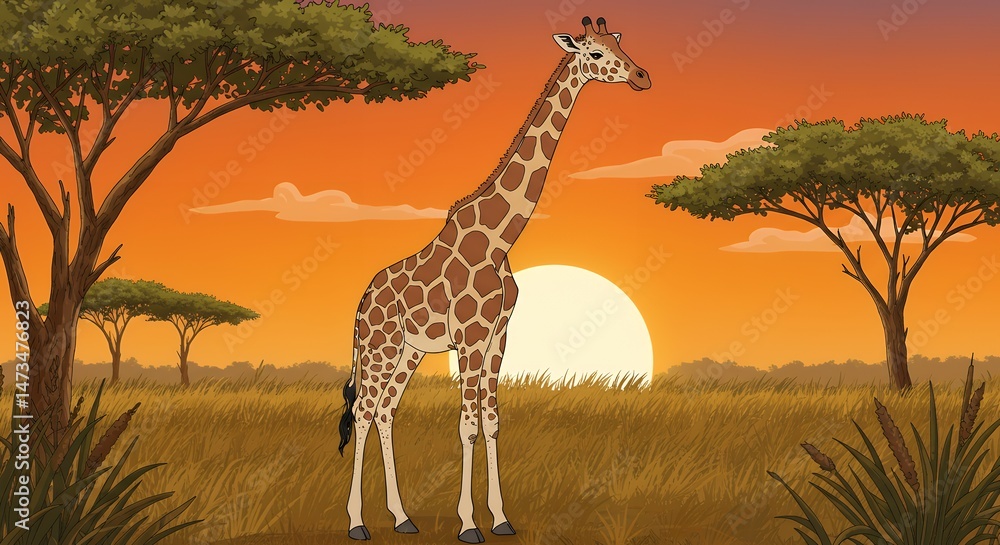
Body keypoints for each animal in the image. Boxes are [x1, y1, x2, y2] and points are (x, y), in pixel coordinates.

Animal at [337, 16, 651, 543]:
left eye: (619, 44)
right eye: (594, 53)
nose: (642, 77)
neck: (501, 240)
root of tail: (360, 303)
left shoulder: (498, 335)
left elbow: (491, 421)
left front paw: (501, 518)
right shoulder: (469, 335)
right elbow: (466, 423)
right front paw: (468, 525)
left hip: (411, 349)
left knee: (385, 410)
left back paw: (402, 518)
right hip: (381, 344)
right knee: (363, 411)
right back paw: (358, 523)